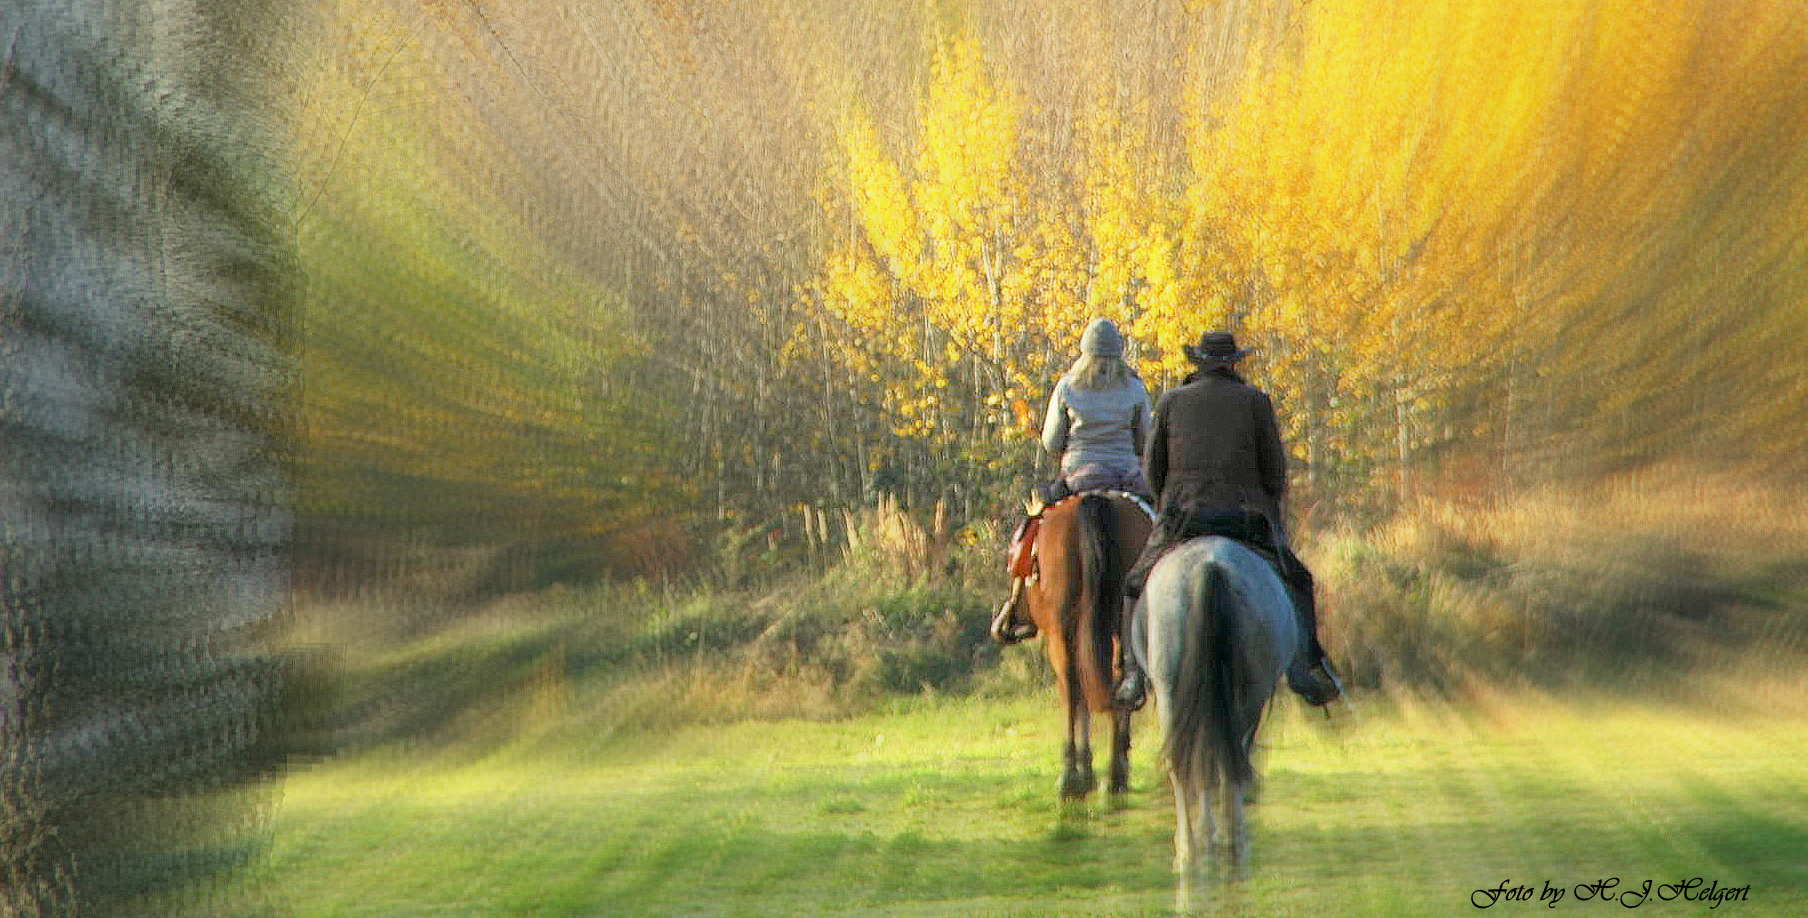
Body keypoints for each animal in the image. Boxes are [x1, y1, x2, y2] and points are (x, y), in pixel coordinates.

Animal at [998, 491, 1149, 798]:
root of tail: (1093, 501)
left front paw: (1084, 769)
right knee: (1116, 680)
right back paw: (1113, 773)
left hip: (1061, 628)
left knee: (1071, 684)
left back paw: (1071, 774)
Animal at [1128, 534, 1301, 907]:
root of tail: (1210, 566)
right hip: (1247, 695)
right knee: (1227, 760)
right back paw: (1228, 838)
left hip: (1172, 693)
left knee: (1187, 764)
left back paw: (1191, 846)